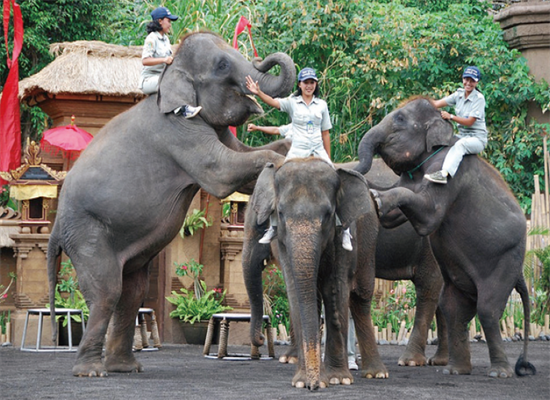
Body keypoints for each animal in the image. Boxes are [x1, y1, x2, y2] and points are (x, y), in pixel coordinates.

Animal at [46, 32, 298, 378]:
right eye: (222, 66)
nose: (261, 62)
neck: (171, 73)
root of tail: (56, 228)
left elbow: (243, 159)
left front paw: (293, 146)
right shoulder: (178, 131)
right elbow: (222, 171)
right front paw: (287, 159)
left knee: (131, 292)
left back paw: (126, 368)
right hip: (86, 234)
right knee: (107, 291)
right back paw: (92, 372)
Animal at [242, 158, 388, 390]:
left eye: (328, 214)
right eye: (280, 214)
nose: (314, 386)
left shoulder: (341, 234)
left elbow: (335, 288)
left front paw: (338, 379)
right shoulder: (283, 243)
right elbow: (295, 291)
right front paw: (302, 381)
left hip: (369, 239)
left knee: (361, 298)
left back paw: (376, 374)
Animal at [354, 97, 540, 378]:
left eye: (399, 119)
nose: (354, 172)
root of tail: (520, 272)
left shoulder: (449, 175)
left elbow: (429, 216)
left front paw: (376, 198)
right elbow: (395, 217)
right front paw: (373, 198)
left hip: (505, 262)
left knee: (487, 310)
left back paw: (499, 372)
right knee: (453, 309)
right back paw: (455, 370)